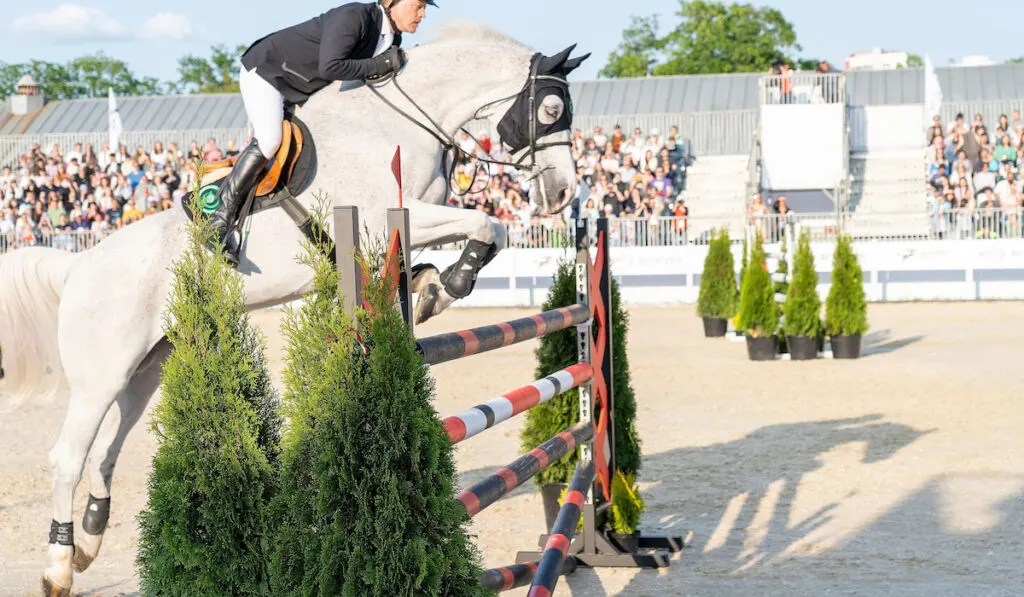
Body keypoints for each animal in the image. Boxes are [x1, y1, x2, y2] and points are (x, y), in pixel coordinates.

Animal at [0, 20, 589, 593]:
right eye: (551, 111)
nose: (564, 194)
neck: (397, 120)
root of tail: (77, 267)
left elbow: (476, 231)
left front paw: (430, 286)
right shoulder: (393, 213)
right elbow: (489, 222)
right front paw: (450, 283)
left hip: (147, 368)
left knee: (105, 451)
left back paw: (89, 541)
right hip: (102, 374)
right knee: (69, 457)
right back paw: (58, 566)